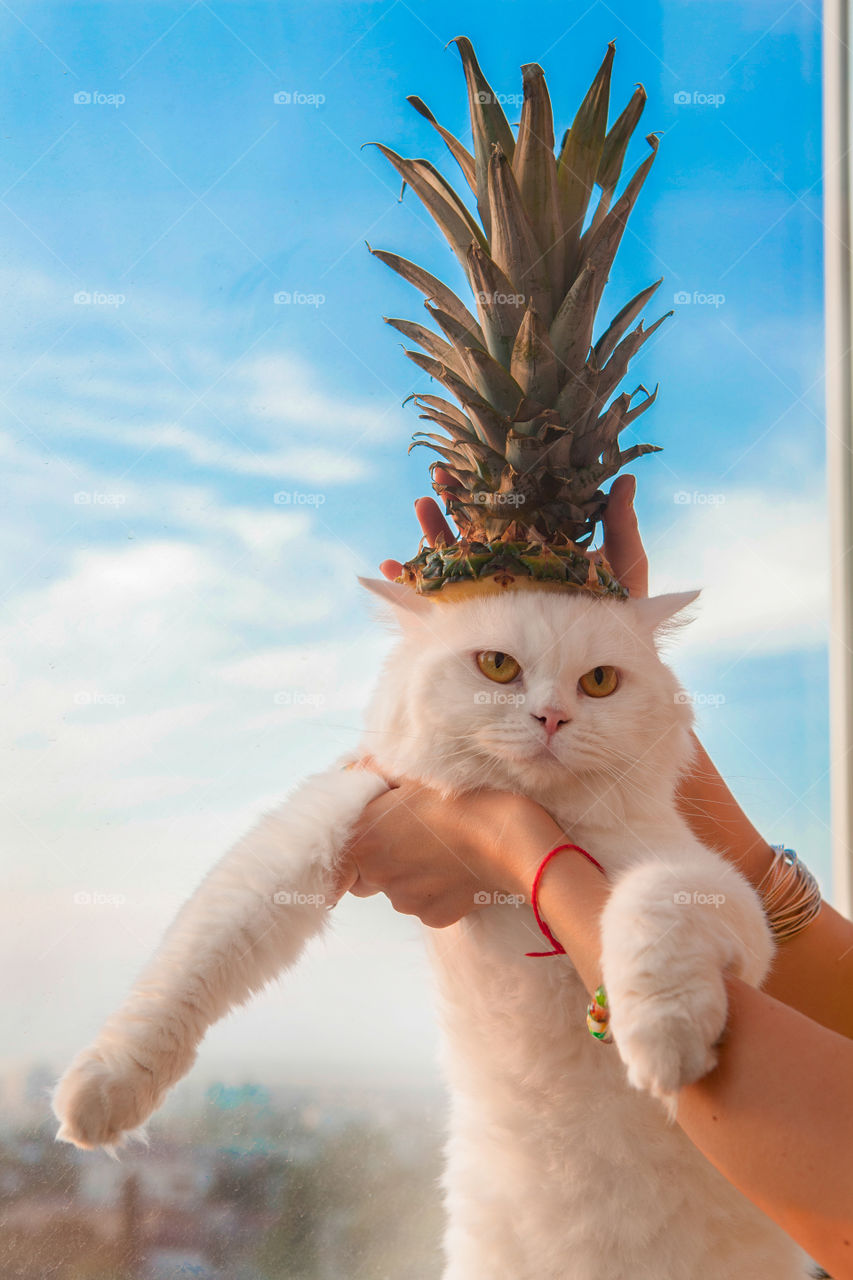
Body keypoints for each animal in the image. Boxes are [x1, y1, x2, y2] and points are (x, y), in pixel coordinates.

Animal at [53, 583, 809, 1280]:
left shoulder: (702, 884)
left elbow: (650, 907)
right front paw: (103, 1092)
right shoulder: (323, 822)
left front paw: (659, 1042)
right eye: (498, 667)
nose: (552, 717)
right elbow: (189, 965)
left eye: (598, 682)